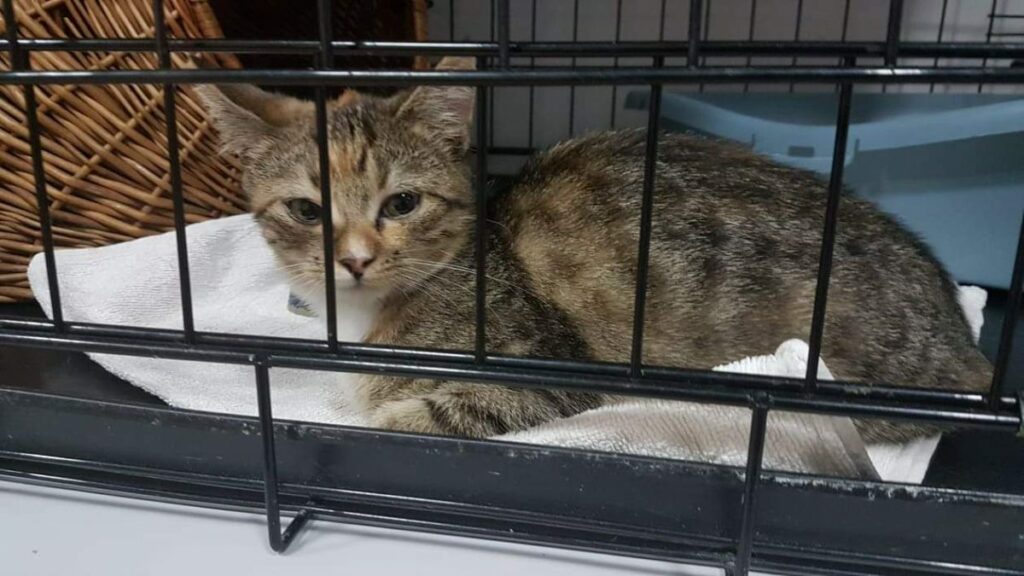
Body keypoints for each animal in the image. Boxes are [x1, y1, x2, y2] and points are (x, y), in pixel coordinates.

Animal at [197, 57, 992, 444]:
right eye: (306, 210)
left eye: (401, 204)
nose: (356, 259)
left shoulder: (552, 371)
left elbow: (431, 413)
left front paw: (386, 413)